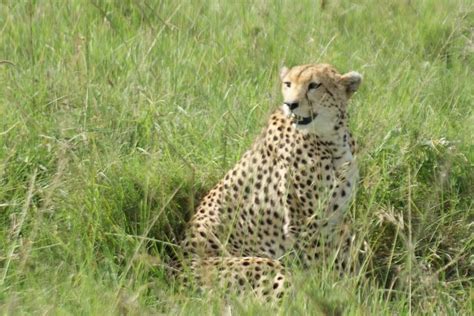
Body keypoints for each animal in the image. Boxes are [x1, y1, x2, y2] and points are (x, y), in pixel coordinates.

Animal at [180, 63, 362, 302]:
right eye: (288, 84)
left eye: (314, 85)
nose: (290, 105)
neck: (331, 139)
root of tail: (177, 271)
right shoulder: (305, 223)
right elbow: (321, 266)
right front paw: (332, 292)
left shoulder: (334, 220)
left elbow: (341, 259)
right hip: (266, 267)